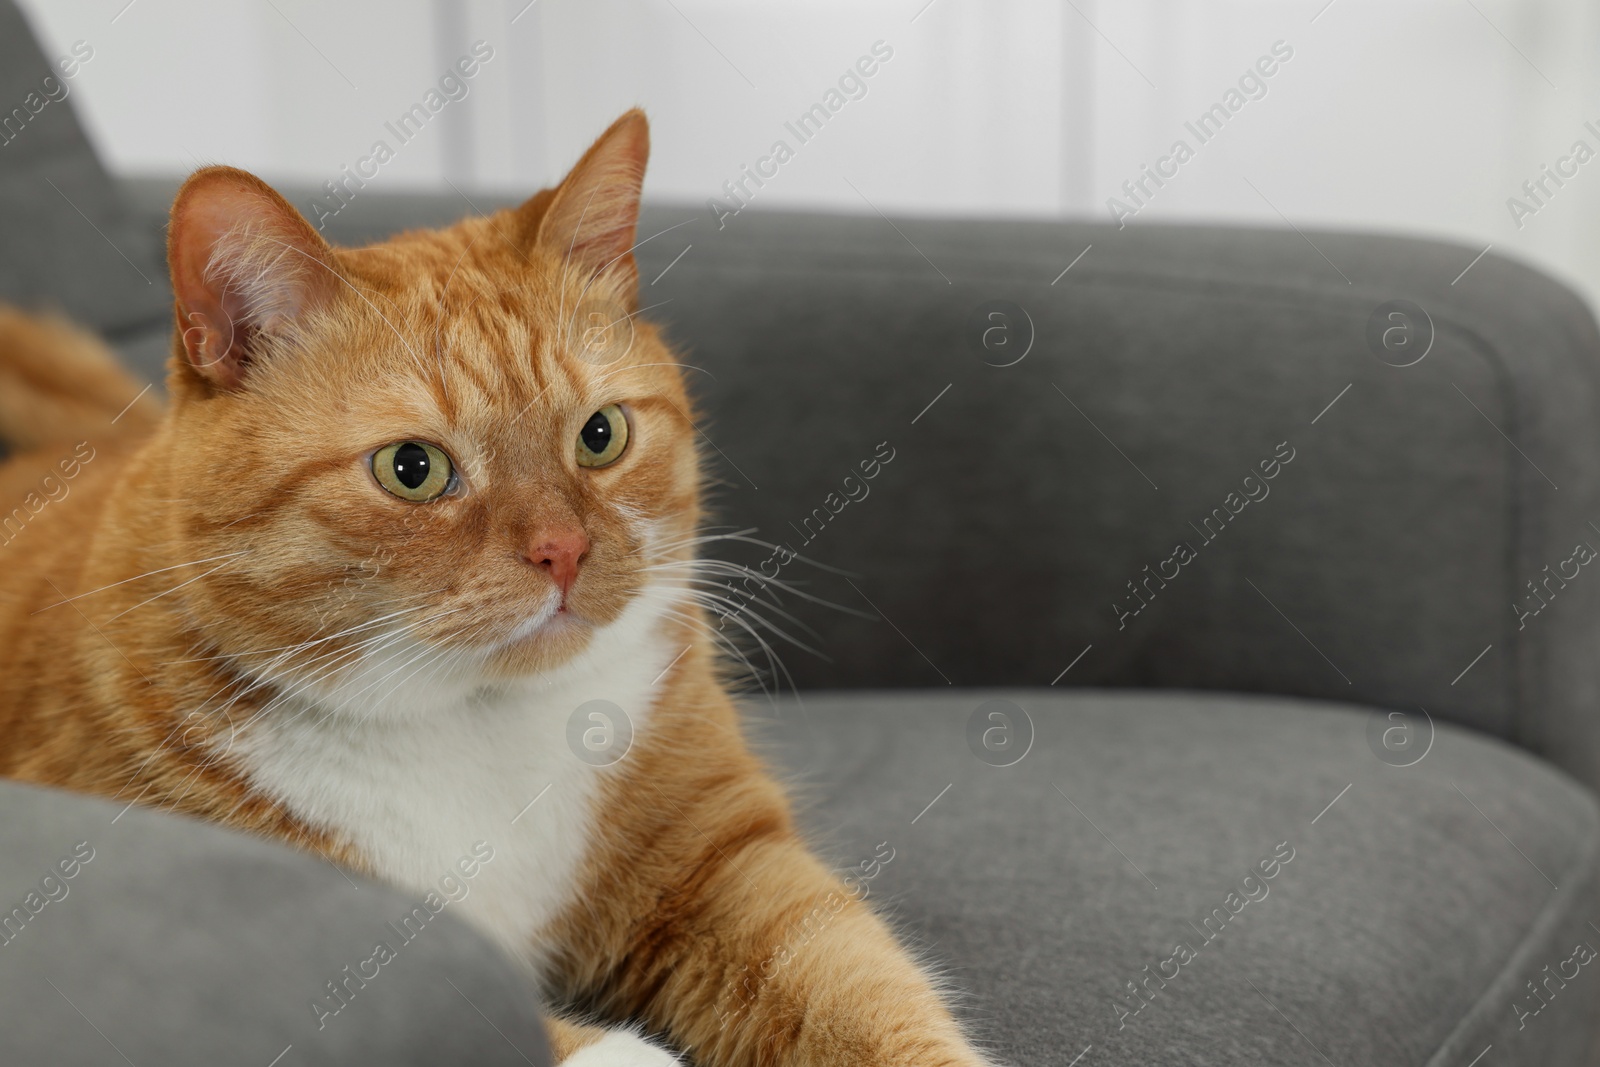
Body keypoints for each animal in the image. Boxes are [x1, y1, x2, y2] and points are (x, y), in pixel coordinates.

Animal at [0, 110, 992, 1067]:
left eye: (600, 434)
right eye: (411, 468)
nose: (564, 550)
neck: (476, 723)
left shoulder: (727, 863)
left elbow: (855, 987)